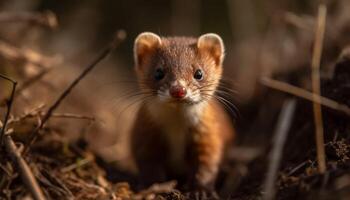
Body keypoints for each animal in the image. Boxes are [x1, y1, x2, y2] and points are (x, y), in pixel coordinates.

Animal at [131, 32, 235, 191]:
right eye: (158, 72)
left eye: (198, 73)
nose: (178, 90)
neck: (177, 129)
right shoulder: (144, 135)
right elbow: (148, 163)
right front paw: (153, 185)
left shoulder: (208, 134)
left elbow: (207, 164)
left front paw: (200, 190)